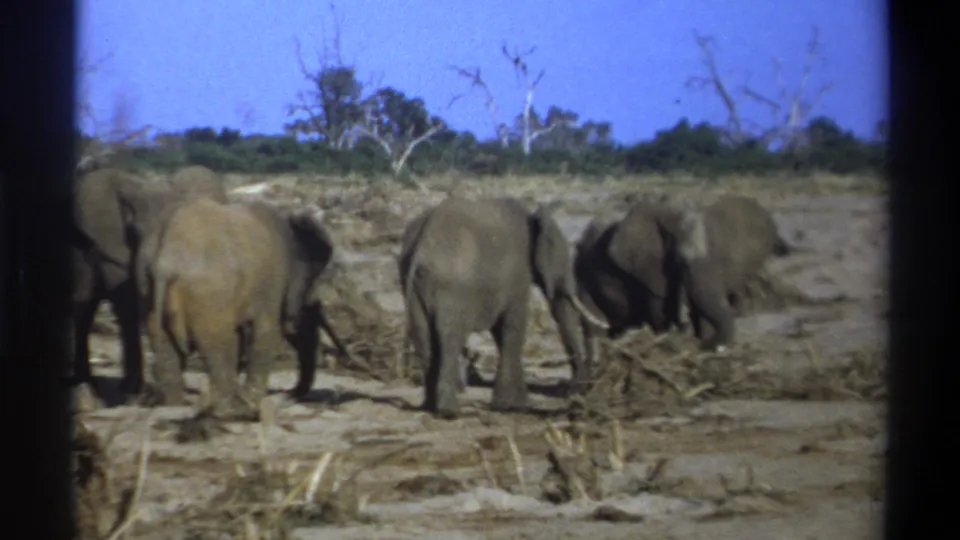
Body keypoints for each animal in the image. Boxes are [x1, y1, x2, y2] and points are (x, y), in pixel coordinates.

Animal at [139, 197, 335, 419]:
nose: (289, 395)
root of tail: (165, 260)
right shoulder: (271, 283)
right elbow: (266, 333)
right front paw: (250, 403)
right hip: (208, 293)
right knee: (219, 343)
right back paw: (230, 409)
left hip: (146, 286)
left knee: (164, 343)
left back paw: (175, 405)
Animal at [398, 197, 610, 419]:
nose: (575, 392)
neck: (532, 217)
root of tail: (422, 246)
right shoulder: (518, 274)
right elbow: (513, 327)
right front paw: (511, 407)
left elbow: (502, 332)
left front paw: (519, 405)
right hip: (452, 287)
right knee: (450, 337)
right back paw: (449, 411)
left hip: (414, 288)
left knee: (424, 338)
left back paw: (430, 407)